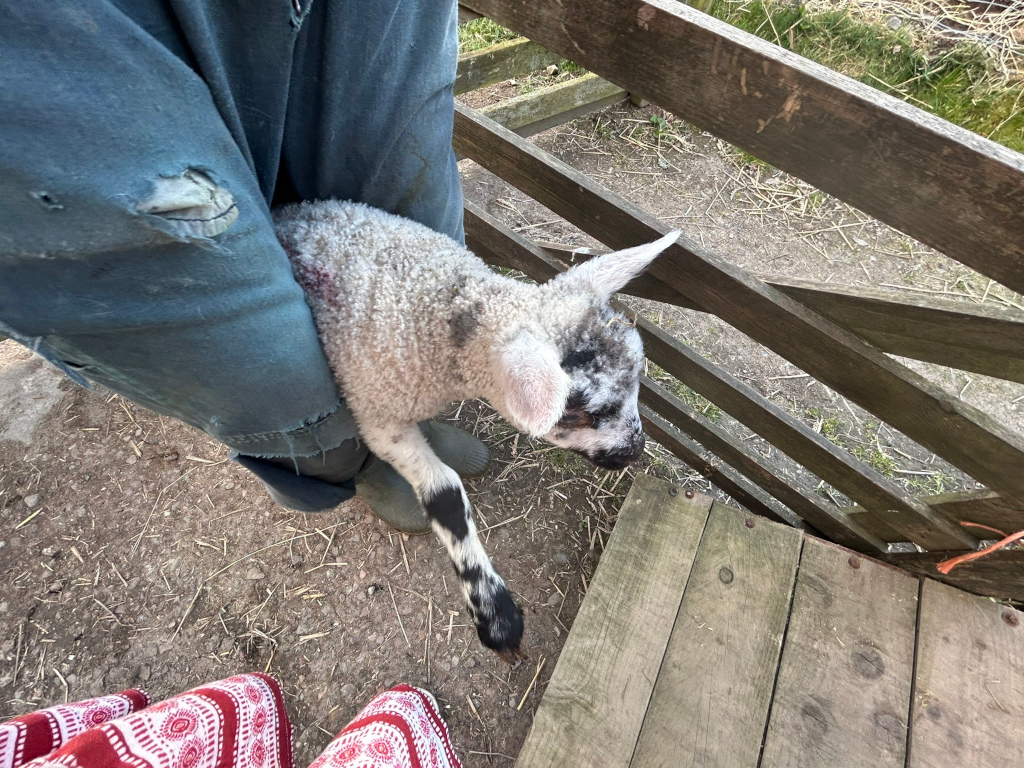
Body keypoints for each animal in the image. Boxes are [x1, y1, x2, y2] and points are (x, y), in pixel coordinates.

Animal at [274, 200, 679, 662]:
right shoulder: (376, 411)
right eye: (585, 413)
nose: (635, 451)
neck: (435, 304)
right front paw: (496, 615)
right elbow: (445, 494)